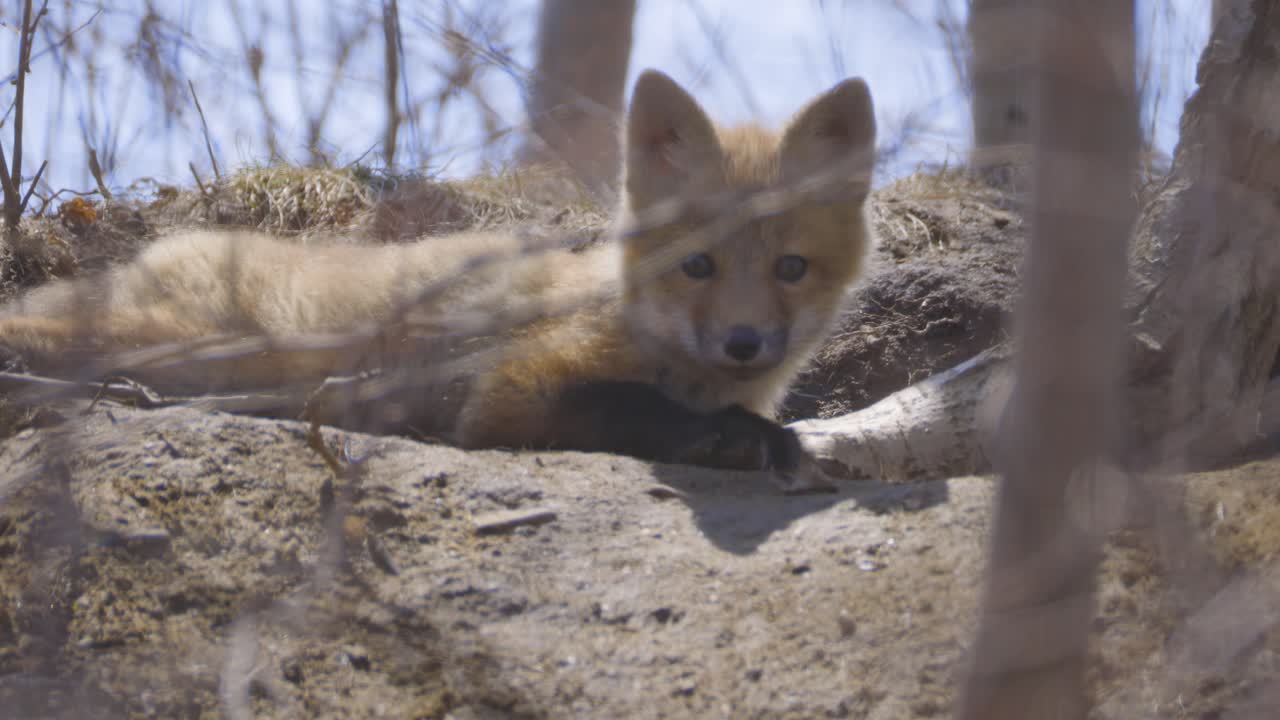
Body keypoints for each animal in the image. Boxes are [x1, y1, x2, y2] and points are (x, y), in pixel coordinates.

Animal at [0, 70, 875, 490]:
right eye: (697, 266)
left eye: (791, 268)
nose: (744, 343)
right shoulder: (510, 391)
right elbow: (644, 409)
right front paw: (752, 440)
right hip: (201, 347)